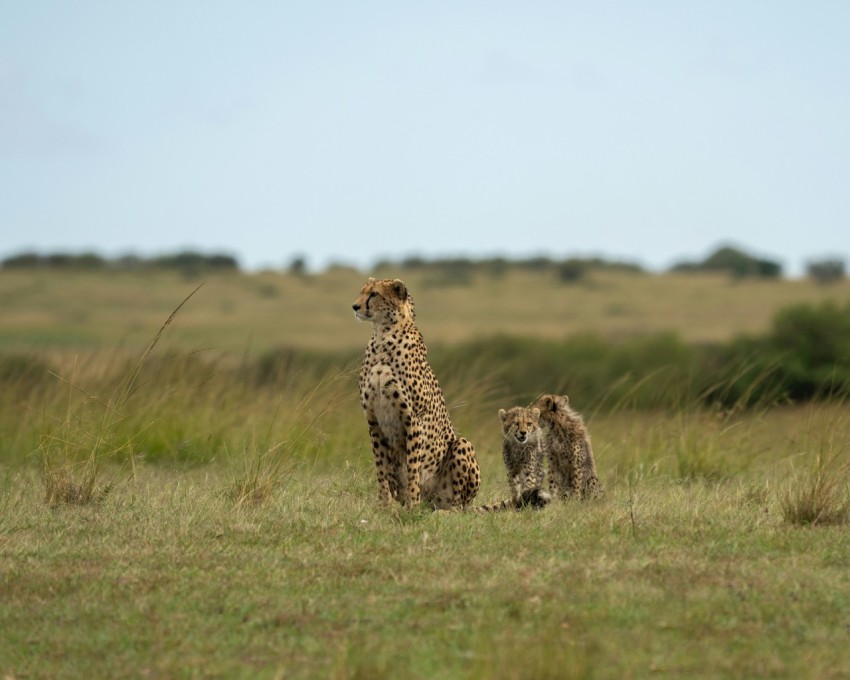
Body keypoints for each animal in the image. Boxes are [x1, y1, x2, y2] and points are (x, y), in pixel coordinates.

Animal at [353, 277, 480, 510]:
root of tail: (434, 501)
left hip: (462, 445)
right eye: (362, 292)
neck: (383, 336)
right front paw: (384, 504)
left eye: (374, 294)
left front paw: (412, 504)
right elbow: (380, 467)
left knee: (458, 506)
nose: (355, 306)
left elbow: (413, 466)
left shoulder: (413, 418)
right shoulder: (373, 419)